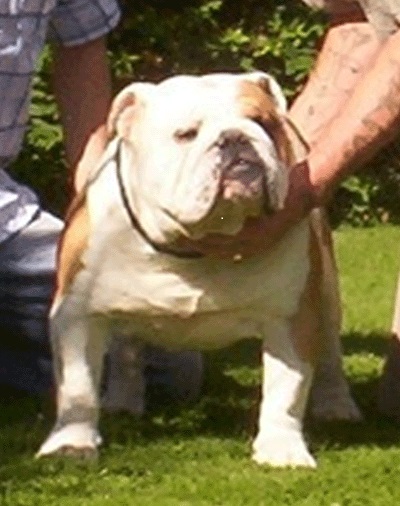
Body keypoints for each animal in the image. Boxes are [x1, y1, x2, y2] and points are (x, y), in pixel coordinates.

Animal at [37, 72, 359, 468]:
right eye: (186, 134)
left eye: (263, 123)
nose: (235, 137)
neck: (192, 247)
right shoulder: (76, 315)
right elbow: (77, 385)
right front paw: (71, 443)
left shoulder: (292, 316)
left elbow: (287, 387)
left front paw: (282, 448)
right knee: (128, 350)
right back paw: (123, 401)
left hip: (325, 290)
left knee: (329, 351)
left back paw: (336, 405)